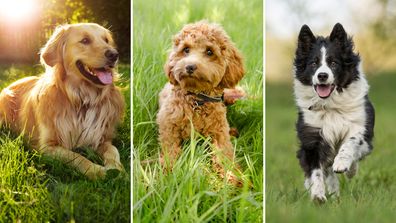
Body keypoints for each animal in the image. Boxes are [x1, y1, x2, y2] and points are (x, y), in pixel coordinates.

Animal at [0, 23, 124, 179]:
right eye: (85, 40)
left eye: (106, 40)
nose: (114, 55)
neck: (82, 99)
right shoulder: (47, 146)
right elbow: (77, 157)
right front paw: (97, 171)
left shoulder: (102, 138)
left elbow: (113, 150)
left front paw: (116, 169)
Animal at [155, 20, 244, 185]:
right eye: (186, 49)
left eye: (209, 52)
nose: (190, 66)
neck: (197, 99)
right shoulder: (168, 125)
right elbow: (170, 150)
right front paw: (167, 174)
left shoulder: (219, 132)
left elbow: (224, 155)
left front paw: (232, 178)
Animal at [294, 23, 374, 202]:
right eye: (314, 64)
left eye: (333, 63)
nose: (322, 76)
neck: (330, 105)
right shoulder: (312, 138)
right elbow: (316, 171)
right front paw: (317, 195)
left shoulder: (360, 126)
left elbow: (350, 143)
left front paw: (343, 164)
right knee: (327, 172)